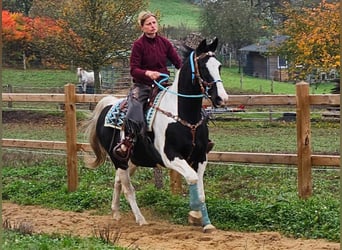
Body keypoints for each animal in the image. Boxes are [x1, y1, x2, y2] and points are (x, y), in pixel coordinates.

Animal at [84, 38, 228, 233]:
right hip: (119, 160)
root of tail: (108, 104)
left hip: (132, 160)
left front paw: (206, 223)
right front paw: (194, 213)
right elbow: (191, 178)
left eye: (219, 66)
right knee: (129, 189)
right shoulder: (170, 157)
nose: (222, 98)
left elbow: (200, 190)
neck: (183, 115)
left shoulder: (200, 157)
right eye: (204, 68)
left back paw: (116, 213)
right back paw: (140, 219)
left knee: (118, 181)